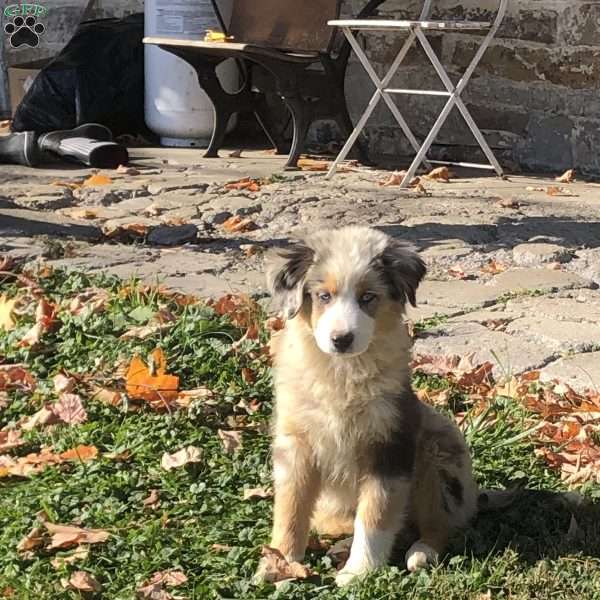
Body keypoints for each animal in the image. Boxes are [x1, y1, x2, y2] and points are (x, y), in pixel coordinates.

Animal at [258, 225, 478, 584]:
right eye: (324, 296)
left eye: (368, 298)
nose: (341, 339)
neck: (342, 374)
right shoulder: (295, 445)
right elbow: (290, 508)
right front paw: (279, 562)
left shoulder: (389, 445)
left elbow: (375, 515)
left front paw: (358, 572)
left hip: (436, 449)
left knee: (439, 523)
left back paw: (421, 552)